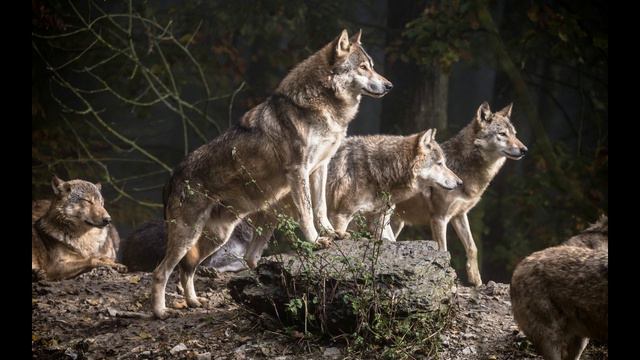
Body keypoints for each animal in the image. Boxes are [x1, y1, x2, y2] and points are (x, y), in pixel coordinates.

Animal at [152, 29, 392, 320]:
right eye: (364, 67)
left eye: (372, 66)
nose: (389, 86)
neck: (322, 107)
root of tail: (171, 177)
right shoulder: (298, 170)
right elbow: (306, 212)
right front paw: (315, 240)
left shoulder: (320, 167)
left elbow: (320, 208)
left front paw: (332, 232)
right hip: (188, 235)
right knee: (161, 272)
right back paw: (160, 312)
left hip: (216, 237)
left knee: (188, 268)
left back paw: (194, 302)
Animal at [242, 129, 462, 268]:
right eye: (440, 164)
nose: (460, 182)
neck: (379, 170)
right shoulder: (341, 216)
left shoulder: (379, 220)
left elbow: (391, 242)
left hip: (268, 225)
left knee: (249, 257)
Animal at [388, 102, 528, 286]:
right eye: (502, 134)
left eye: (515, 134)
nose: (524, 150)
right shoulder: (439, 218)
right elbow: (443, 251)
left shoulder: (459, 215)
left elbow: (472, 247)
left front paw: (476, 280)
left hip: (397, 223)